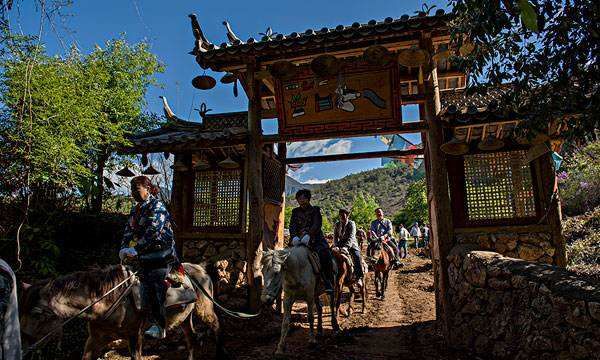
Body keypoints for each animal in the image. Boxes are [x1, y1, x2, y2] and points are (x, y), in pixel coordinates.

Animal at [20, 262, 225, 360]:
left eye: (37, 313)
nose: (21, 345)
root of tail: (200, 268)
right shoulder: (95, 339)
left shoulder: (135, 336)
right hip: (184, 318)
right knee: (191, 338)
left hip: (204, 310)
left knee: (216, 327)